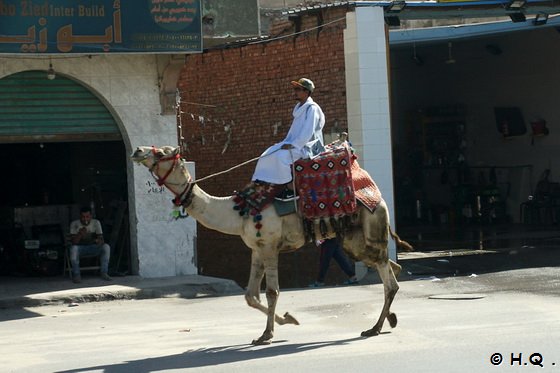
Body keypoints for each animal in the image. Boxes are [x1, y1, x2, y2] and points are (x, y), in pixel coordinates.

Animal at [131, 145, 412, 342]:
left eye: (163, 151)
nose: (137, 150)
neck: (237, 212)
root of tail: (376, 194)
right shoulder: (256, 248)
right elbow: (249, 295)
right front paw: (286, 320)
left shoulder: (269, 246)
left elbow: (271, 292)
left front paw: (270, 333)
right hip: (354, 240)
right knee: (388, 267)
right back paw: (390, 319)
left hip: (371, 224)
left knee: (388, 278)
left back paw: (374, 328)